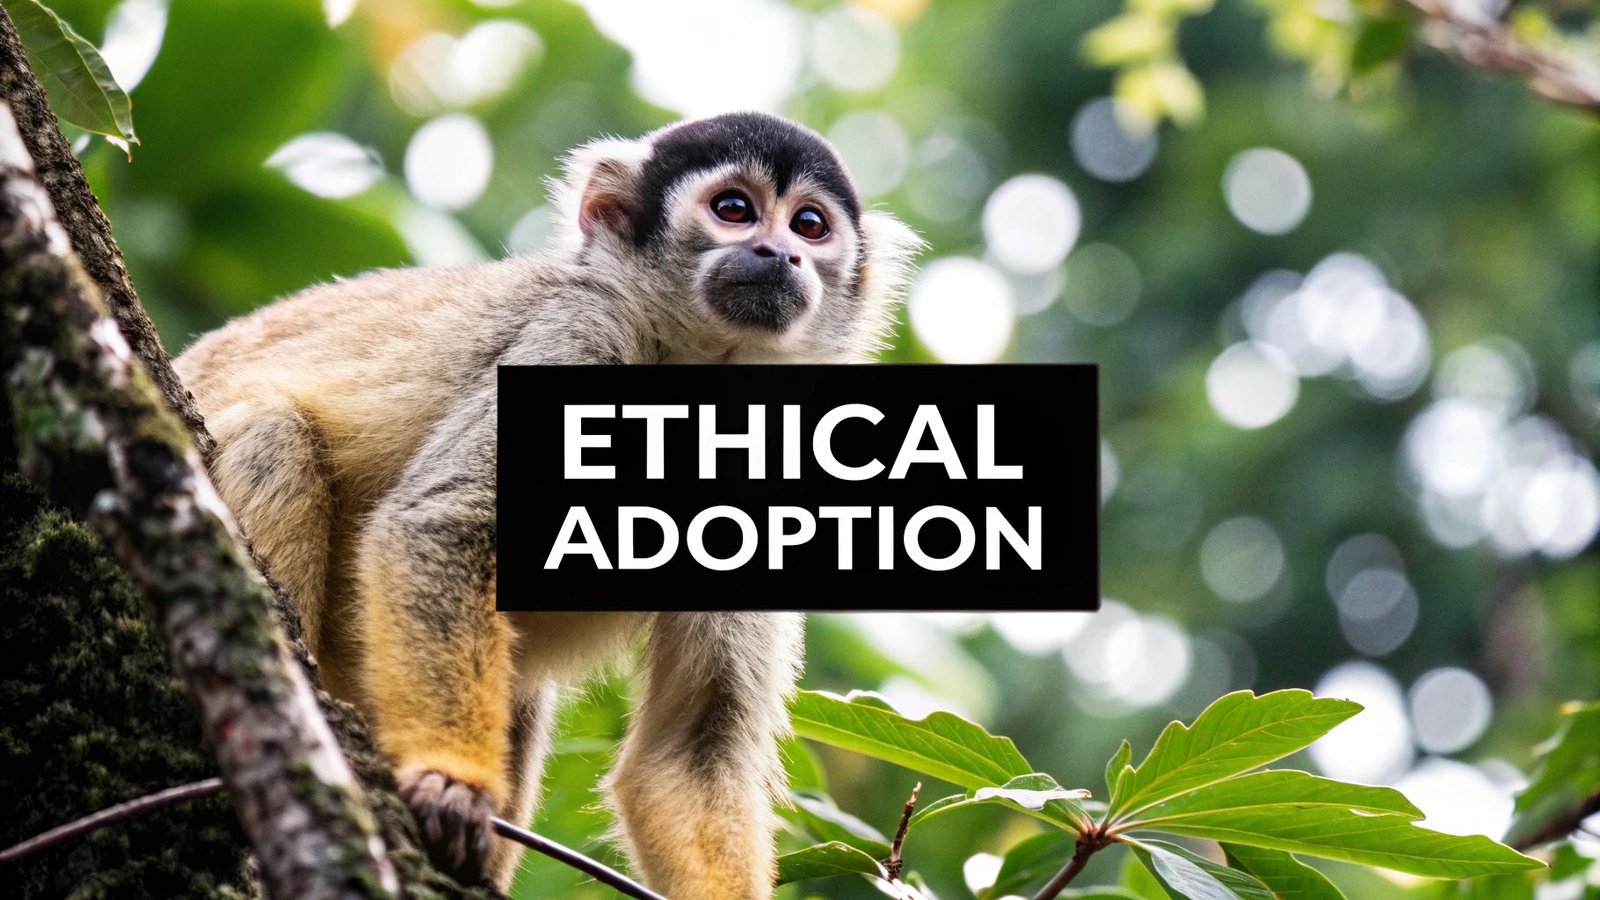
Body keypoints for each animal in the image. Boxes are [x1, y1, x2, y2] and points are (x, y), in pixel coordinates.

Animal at [173, 111, 921, 897]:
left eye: (809, 225)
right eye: (734, 210)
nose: (778, 252)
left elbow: (691, 748)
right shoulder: (583, 334)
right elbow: (440, 523)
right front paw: (451, 783)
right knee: (275, 432)